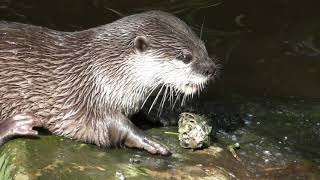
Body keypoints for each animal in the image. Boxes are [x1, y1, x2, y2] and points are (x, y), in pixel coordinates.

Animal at [0, 10, 216, 155]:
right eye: (185, 57)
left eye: (203, 46)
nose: (210, 69)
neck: (101, 70)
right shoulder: (87, 99)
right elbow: (112, 127)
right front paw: (148, 140)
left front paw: (164, 112)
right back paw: (17, 124)